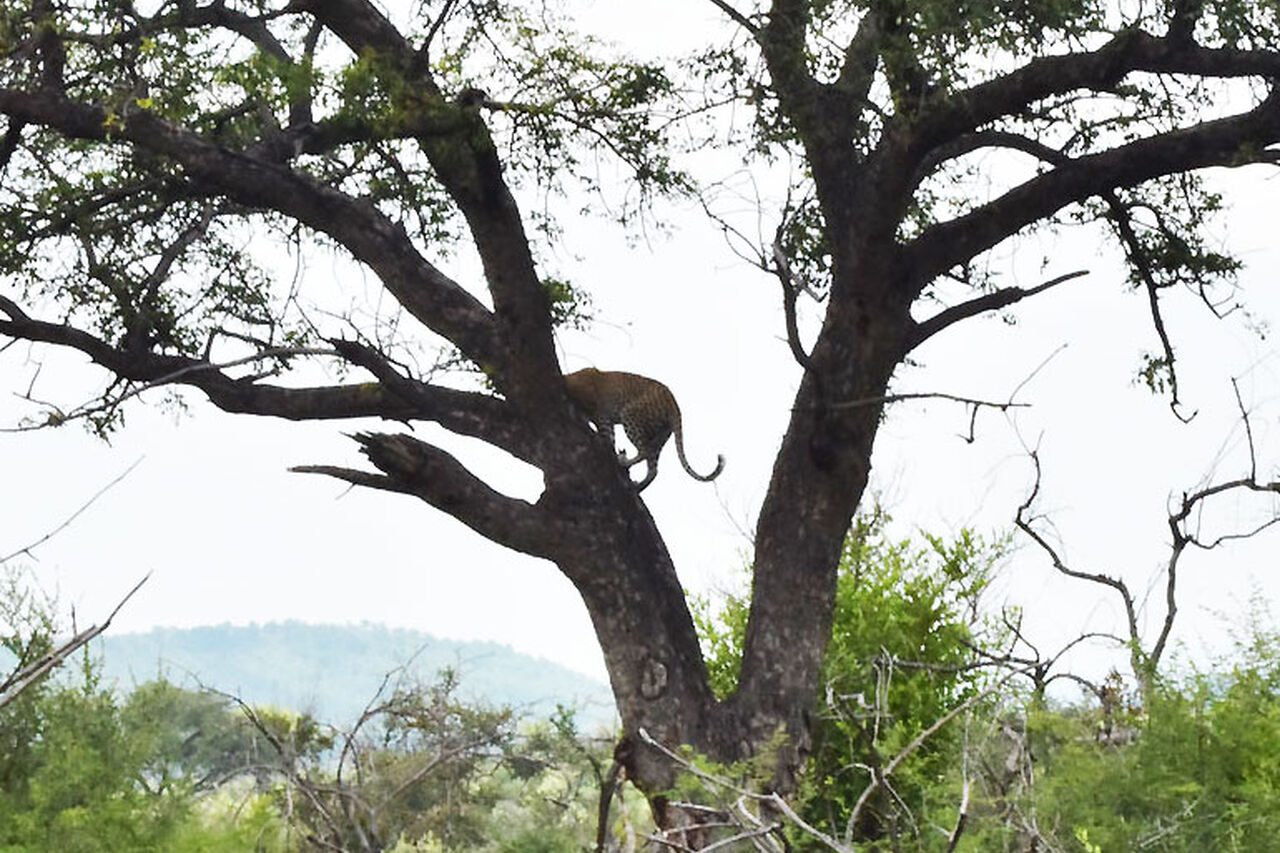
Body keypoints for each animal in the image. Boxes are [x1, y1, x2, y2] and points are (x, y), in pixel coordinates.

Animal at [564, 367, 725, 491]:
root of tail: (673, 400)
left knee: (644, 451)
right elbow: (610, 438)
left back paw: (623, 462)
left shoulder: (601, 414)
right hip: (660, 435)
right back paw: (638, 486)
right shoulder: (605, 419)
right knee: (653, 468)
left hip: (630, 415)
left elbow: (607, 437)